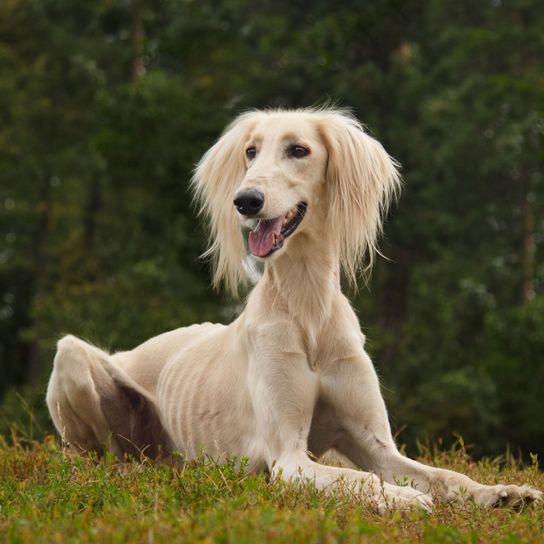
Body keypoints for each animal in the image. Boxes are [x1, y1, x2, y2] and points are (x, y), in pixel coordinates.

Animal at [44, 108, 540, 512]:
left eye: (298, 149)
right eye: (250, 151)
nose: (245, 201)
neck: (308, 307)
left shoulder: (377, 445)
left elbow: (446, 475)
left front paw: (502, 492)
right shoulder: (287, 457)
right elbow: (359, 479)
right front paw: (401, 498)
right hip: (73, 359)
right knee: (99, 459)